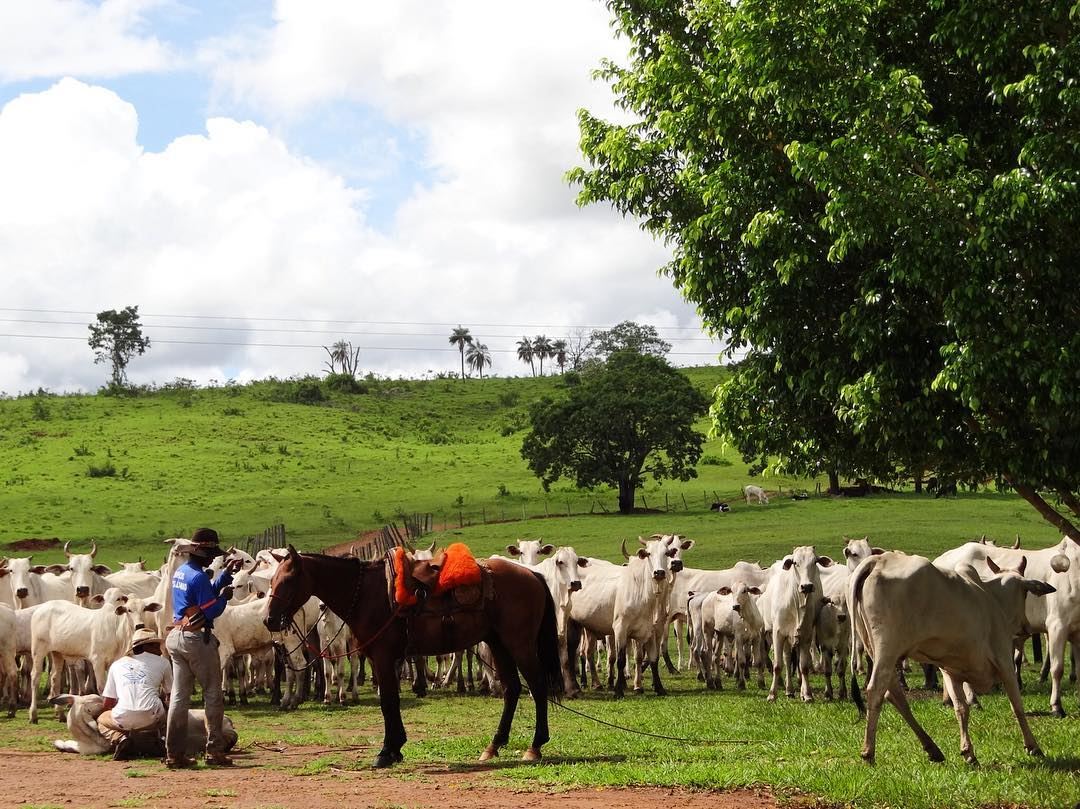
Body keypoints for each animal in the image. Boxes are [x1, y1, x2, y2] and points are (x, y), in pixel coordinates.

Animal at [264, 546, 561, 769]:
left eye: (288, 580)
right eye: (272, 580)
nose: (269, 620)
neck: (367, 593)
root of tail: (532, 575)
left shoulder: (383, 657)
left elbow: (388, 702)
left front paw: (386, 751)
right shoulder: (381, 659)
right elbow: (391, 701)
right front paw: (396, 748)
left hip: (519, 643)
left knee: (537, 686)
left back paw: (535, 746)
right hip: (498, 643)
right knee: (512, 689)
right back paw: (494, 745)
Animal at [851, 548, 1054, 764]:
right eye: (1024, 593)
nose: (1025, 627)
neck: (992, 599)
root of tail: (877, 560)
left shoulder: (950, 671)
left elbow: (961, 708)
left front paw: (968, 752)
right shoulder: (1004, 661)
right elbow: (1017, 706)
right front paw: (1033, 746)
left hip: (876, 649)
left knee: (894, 695)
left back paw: (932, 749)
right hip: (887, 648)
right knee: (876, 690)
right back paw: (868, 752)